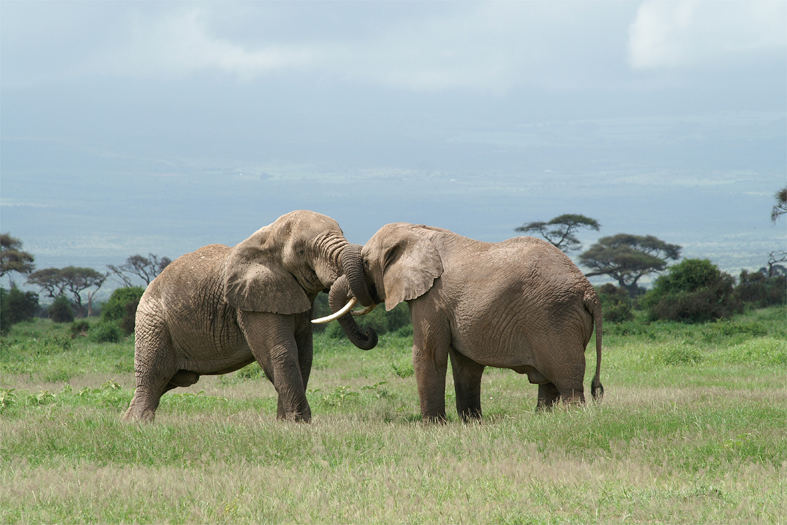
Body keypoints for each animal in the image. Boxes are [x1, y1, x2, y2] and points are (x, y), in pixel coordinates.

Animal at [124, 209, 378, 422]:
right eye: (302, 250)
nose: (370, 332)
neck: (269, 236)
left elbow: (304, 356)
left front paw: (284, 423)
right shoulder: (253, 304)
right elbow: (281, 352)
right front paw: (299, 423)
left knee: (169, 380)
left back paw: (128, 421)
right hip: (153, 321)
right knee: (154, 375)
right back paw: (138, 424)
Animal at [324, 221, 608, 422]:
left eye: (365, 262)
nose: (370, 332)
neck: (419, 232)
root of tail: (589, 291)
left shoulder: (433, 299)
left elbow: (428, 354)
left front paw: (432, 426)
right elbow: (465, 364)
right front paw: (471, 422)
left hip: (555, 320)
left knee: (566, 379)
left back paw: (570, 417)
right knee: (549, 384)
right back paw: (542, 419)